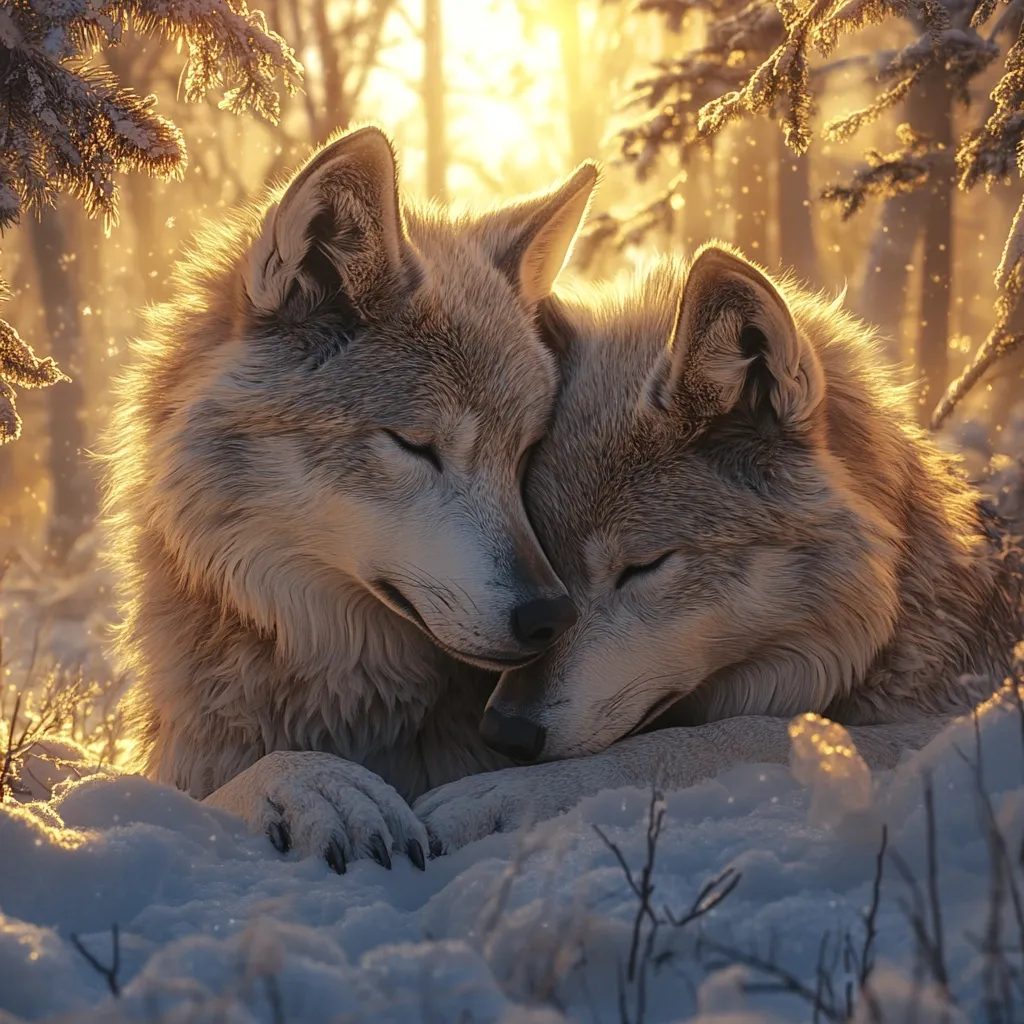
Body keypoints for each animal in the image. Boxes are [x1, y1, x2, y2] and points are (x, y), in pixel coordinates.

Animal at [415, 243, 1022, 853]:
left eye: (642, 567)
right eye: (544, 558)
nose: (505, 732)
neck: (896, 622)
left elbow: (729, 735)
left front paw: (504, 793)